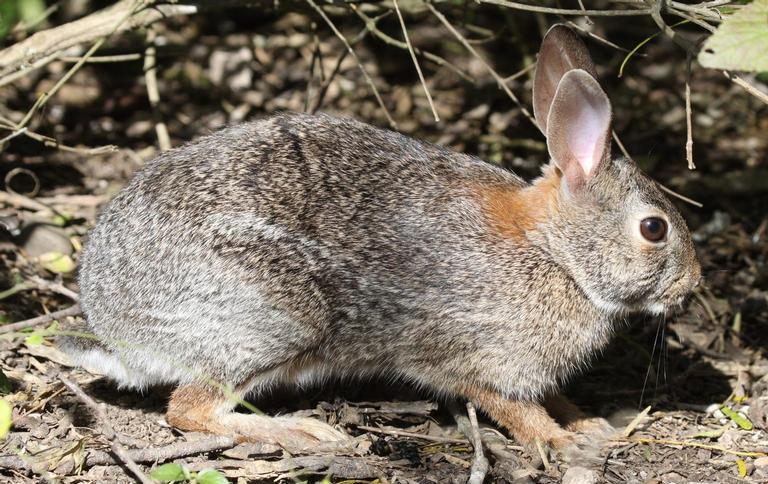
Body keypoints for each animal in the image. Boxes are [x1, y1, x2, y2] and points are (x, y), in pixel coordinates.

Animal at [60, 25, 700, 458]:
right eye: (654, 228)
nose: (692, 287)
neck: (556, 253)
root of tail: (116, 328)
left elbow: (553, 397)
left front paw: (589, 423)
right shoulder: (467, 355)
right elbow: (509, 406)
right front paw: (560, 442)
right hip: (271, 317)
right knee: (189, 410)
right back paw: (303, 431)